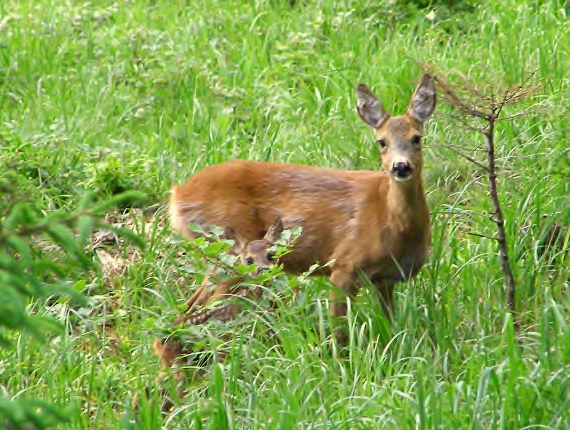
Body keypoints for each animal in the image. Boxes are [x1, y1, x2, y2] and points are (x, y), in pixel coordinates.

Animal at [169, 74, 434, 342]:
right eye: (381, 142)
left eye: (416, 138)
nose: (401, 166)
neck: (391, 223)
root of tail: (177, 194)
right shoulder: (344, 265)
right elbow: (339, 332)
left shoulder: (386, 279)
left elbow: (391, 326)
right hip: (228, 253)